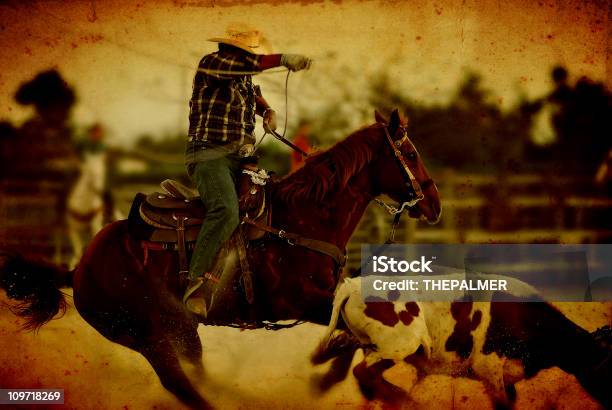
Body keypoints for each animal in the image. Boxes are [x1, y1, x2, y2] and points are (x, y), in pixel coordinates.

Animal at [0, 110, 440, 408]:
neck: (301, 220)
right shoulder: (301, 302)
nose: (434, 203)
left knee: (195, 374)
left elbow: (351, 334)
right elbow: (349, 335)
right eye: (410, 152)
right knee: (182, 385)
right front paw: (332, 378)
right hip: (148, 335)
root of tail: (79, 269)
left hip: (180, 331)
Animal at [314, 276, 608, 406]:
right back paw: (406, 401)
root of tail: (352, 284)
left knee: (367, 374)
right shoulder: (487, 366)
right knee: (362, 371)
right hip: (402, 343)